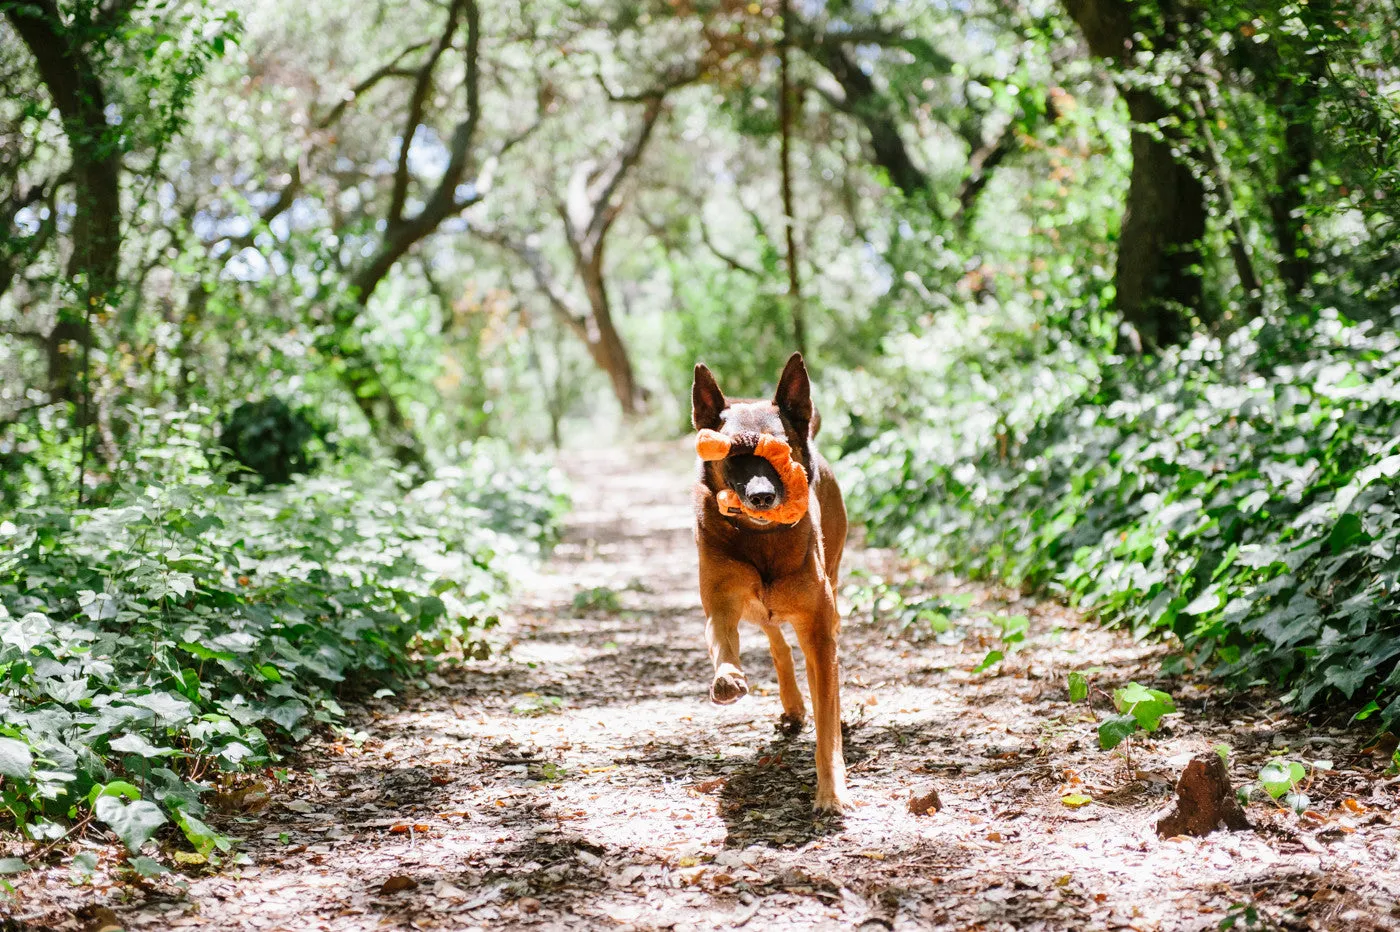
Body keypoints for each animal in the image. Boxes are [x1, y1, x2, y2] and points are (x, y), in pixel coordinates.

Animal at [691, 352, 851, 811]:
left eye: (778, 451)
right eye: (733, 454)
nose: (761, 497)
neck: (761, 540)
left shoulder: (818, 629)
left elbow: (827, 722)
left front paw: (831, 791)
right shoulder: (721, 604)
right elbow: (724, 643)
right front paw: (727, 679)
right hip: (758, 609)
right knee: (776, 640)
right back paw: (791, 703)